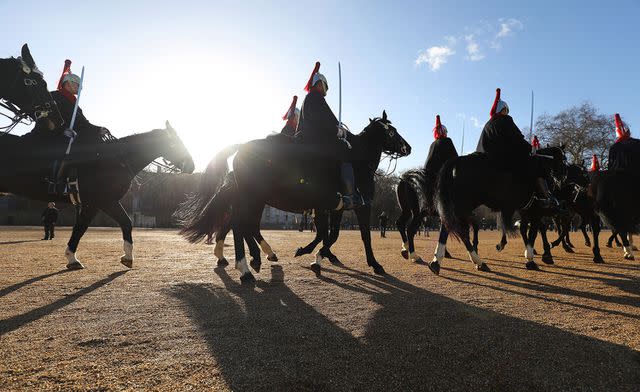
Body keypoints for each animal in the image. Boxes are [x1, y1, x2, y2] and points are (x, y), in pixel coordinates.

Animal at [0, 122, 194, 270]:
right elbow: (84, 227)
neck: (114, 161)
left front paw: (127, 256)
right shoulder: (101, 202)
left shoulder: (104, 202)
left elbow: (122, 223)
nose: (191, 165)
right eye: (174, 143)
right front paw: (72, 258)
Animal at [179, 110, 410, 282]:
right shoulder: (360, 206)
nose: (408, 147)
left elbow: (330, 234)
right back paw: (246, 267)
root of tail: (242, 147)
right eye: (392, 131)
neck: (359, 161)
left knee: (242, 225)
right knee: (239, 224)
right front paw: (374, 264)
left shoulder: (336, 207)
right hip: (251, 197)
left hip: (255, 199)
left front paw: (316, 255)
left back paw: (254, 257)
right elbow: (361, 236)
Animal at [432, 146, 568, 272]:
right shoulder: (535, 212)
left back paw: (438, 261)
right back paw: (476, 260)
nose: (562, 178)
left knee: (450, 228)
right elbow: (533, 234)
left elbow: (526, 231)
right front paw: (532, 258)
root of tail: (457, 160)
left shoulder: (526, 212)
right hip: (464, 206)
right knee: (461, 232)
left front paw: (532, 255)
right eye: (563, 159)